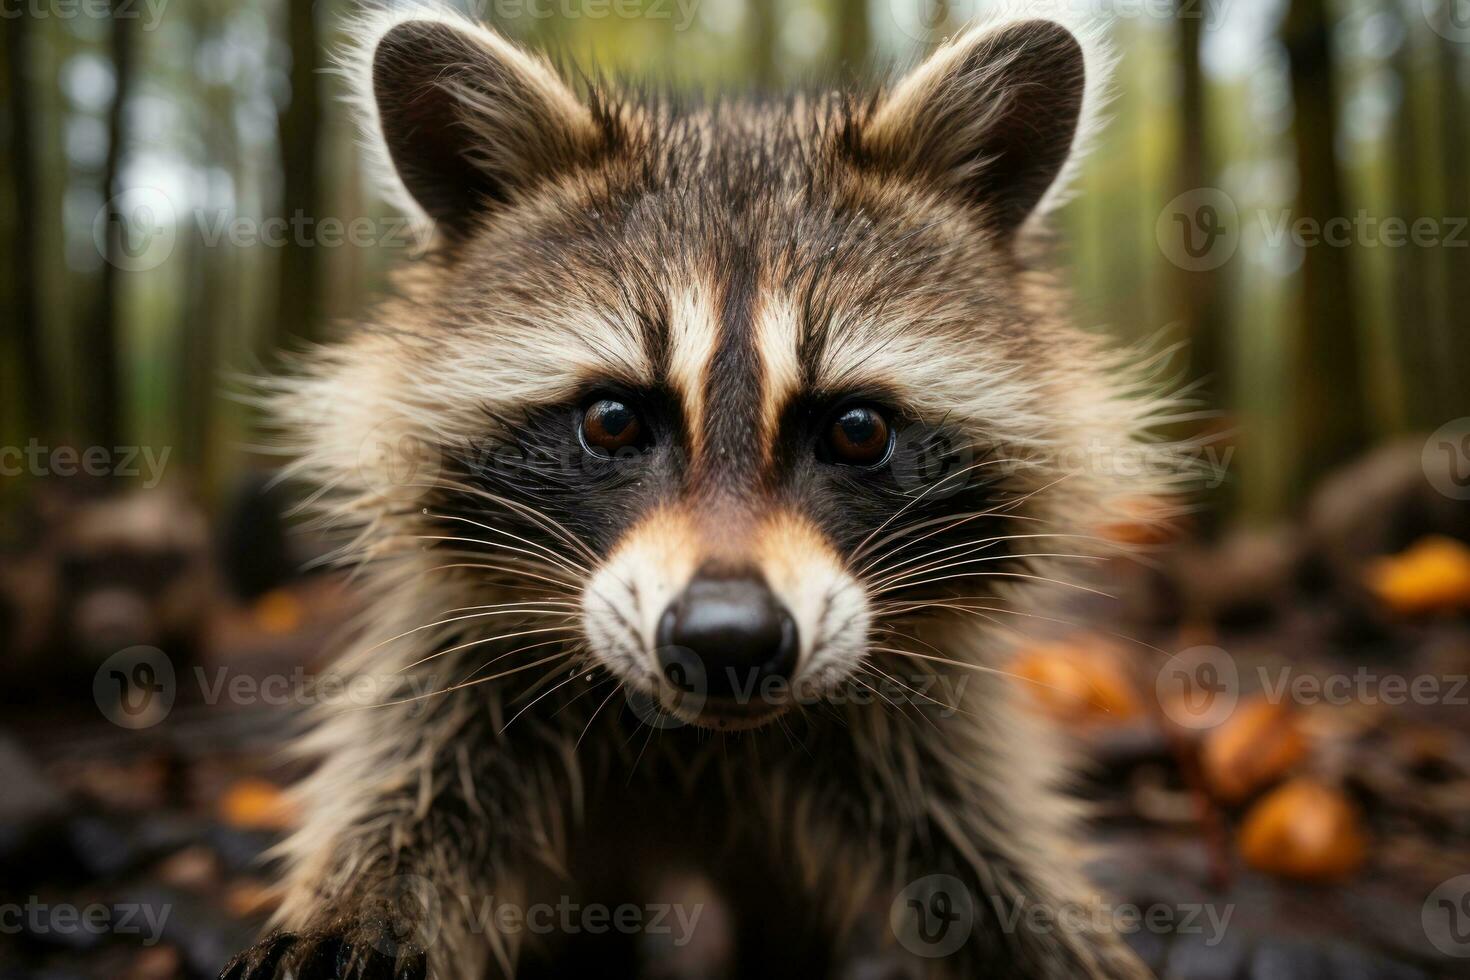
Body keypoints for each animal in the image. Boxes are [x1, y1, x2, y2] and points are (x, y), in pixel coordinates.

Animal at [220, 3, 1181, 975]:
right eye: (611, 420)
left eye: (858, 429)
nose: (729, 640)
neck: (698, 747)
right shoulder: (465, 661)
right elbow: (408, 776)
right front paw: (363, 900)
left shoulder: (920, 731)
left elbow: (988, 854)